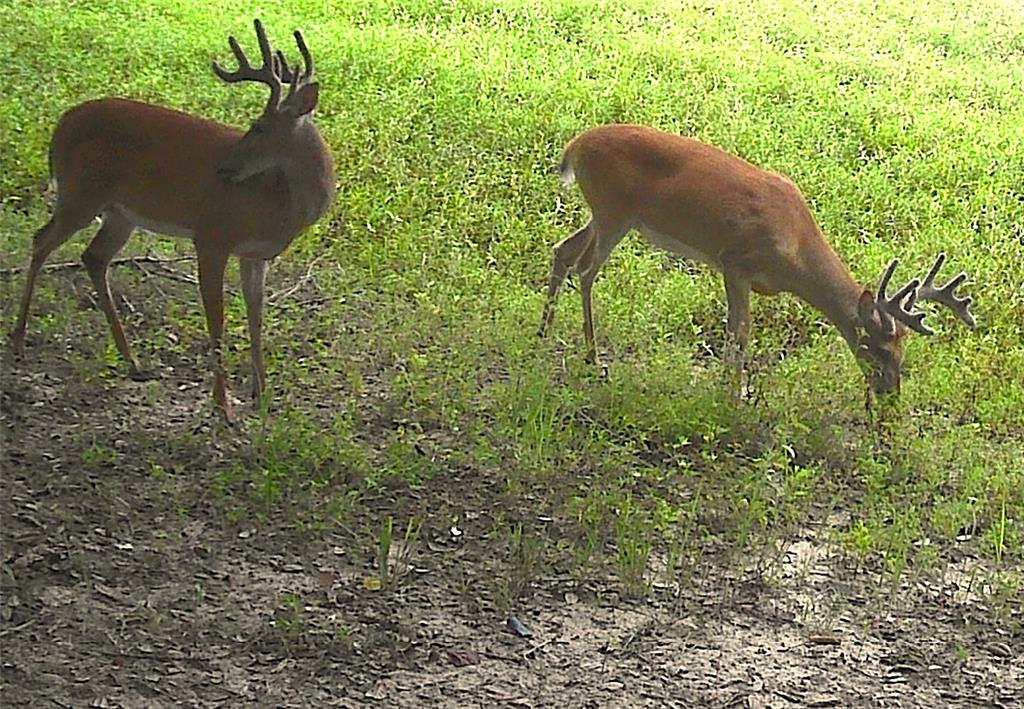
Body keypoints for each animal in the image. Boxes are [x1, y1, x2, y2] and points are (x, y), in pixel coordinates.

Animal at [9, 19, 335, 420]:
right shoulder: (211, 236)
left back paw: (132, 360)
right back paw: (18, 340)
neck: (277, 200)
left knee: (93, 257)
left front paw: (262, 394)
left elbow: (256, 316)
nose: (224, 168)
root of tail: (61, 124)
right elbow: (217, 317)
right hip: (80, 193)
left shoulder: (255, 254)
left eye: (259, 127)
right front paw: (223, 404)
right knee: (41, 240)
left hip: (119, 213)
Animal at [536, 123, 974, 395]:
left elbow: (737, 329)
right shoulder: (735, 261)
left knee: (563, 251)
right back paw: (593, 356)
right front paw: (734, 393)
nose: (888, 393)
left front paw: (727, 386)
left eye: (903, 350)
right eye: (878, 348)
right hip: (614, 211)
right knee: (586, 268)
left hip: (604, 214)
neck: (795, 250)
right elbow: (740, 330)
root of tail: (575, 146)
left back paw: (543, 333)